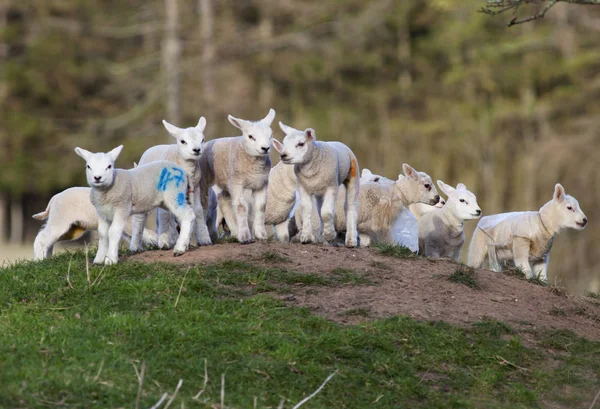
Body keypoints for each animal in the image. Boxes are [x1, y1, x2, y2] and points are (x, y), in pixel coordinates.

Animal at [132, 116, 213, 250]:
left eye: (202, 140)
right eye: (182, 141)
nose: (196, 150)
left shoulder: (196, 188)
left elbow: (198, 210)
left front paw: (204, 239)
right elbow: (166, 215)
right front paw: (166, 241)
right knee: (142, 218)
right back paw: (137, 246)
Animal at [200, 107, 278, 242]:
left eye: (270, 135)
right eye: (251, 136)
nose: (265, 148)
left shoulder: (262, 183)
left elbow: (261, 206)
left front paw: (260, 234)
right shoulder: (237, 182)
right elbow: (241, 206)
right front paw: (245, 236)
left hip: (226, 184)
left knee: (224, 200)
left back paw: (235, 232)